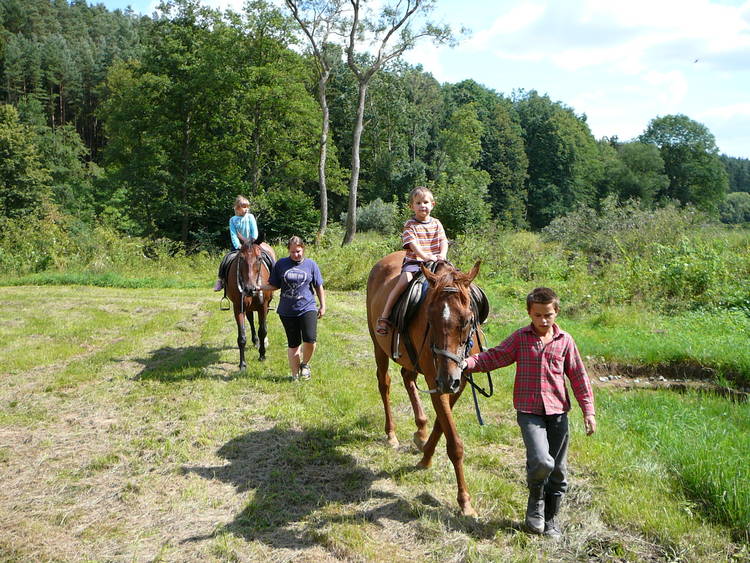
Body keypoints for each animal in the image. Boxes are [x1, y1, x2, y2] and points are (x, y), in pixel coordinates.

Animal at [226, 237, 276, 368]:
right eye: (241, 258)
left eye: (259, 258)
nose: (250, 289)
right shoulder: (239, 307)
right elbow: (242, 336)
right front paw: (242, 364)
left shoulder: (263, 306)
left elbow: (262, 330)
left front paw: (262, 355)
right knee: (252, 321)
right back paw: (255, 341)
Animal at [366, 251, 482, 517]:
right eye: (429, 317)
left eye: (467, 320)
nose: (448, 378)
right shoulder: (436, 379)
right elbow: (454, 443)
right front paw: (464, 501)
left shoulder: (459, 382)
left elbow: (442, 424)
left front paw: (425, 455)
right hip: (378, 345)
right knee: (384, 384)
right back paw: (391, 433)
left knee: (407, 378)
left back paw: (420, 429)